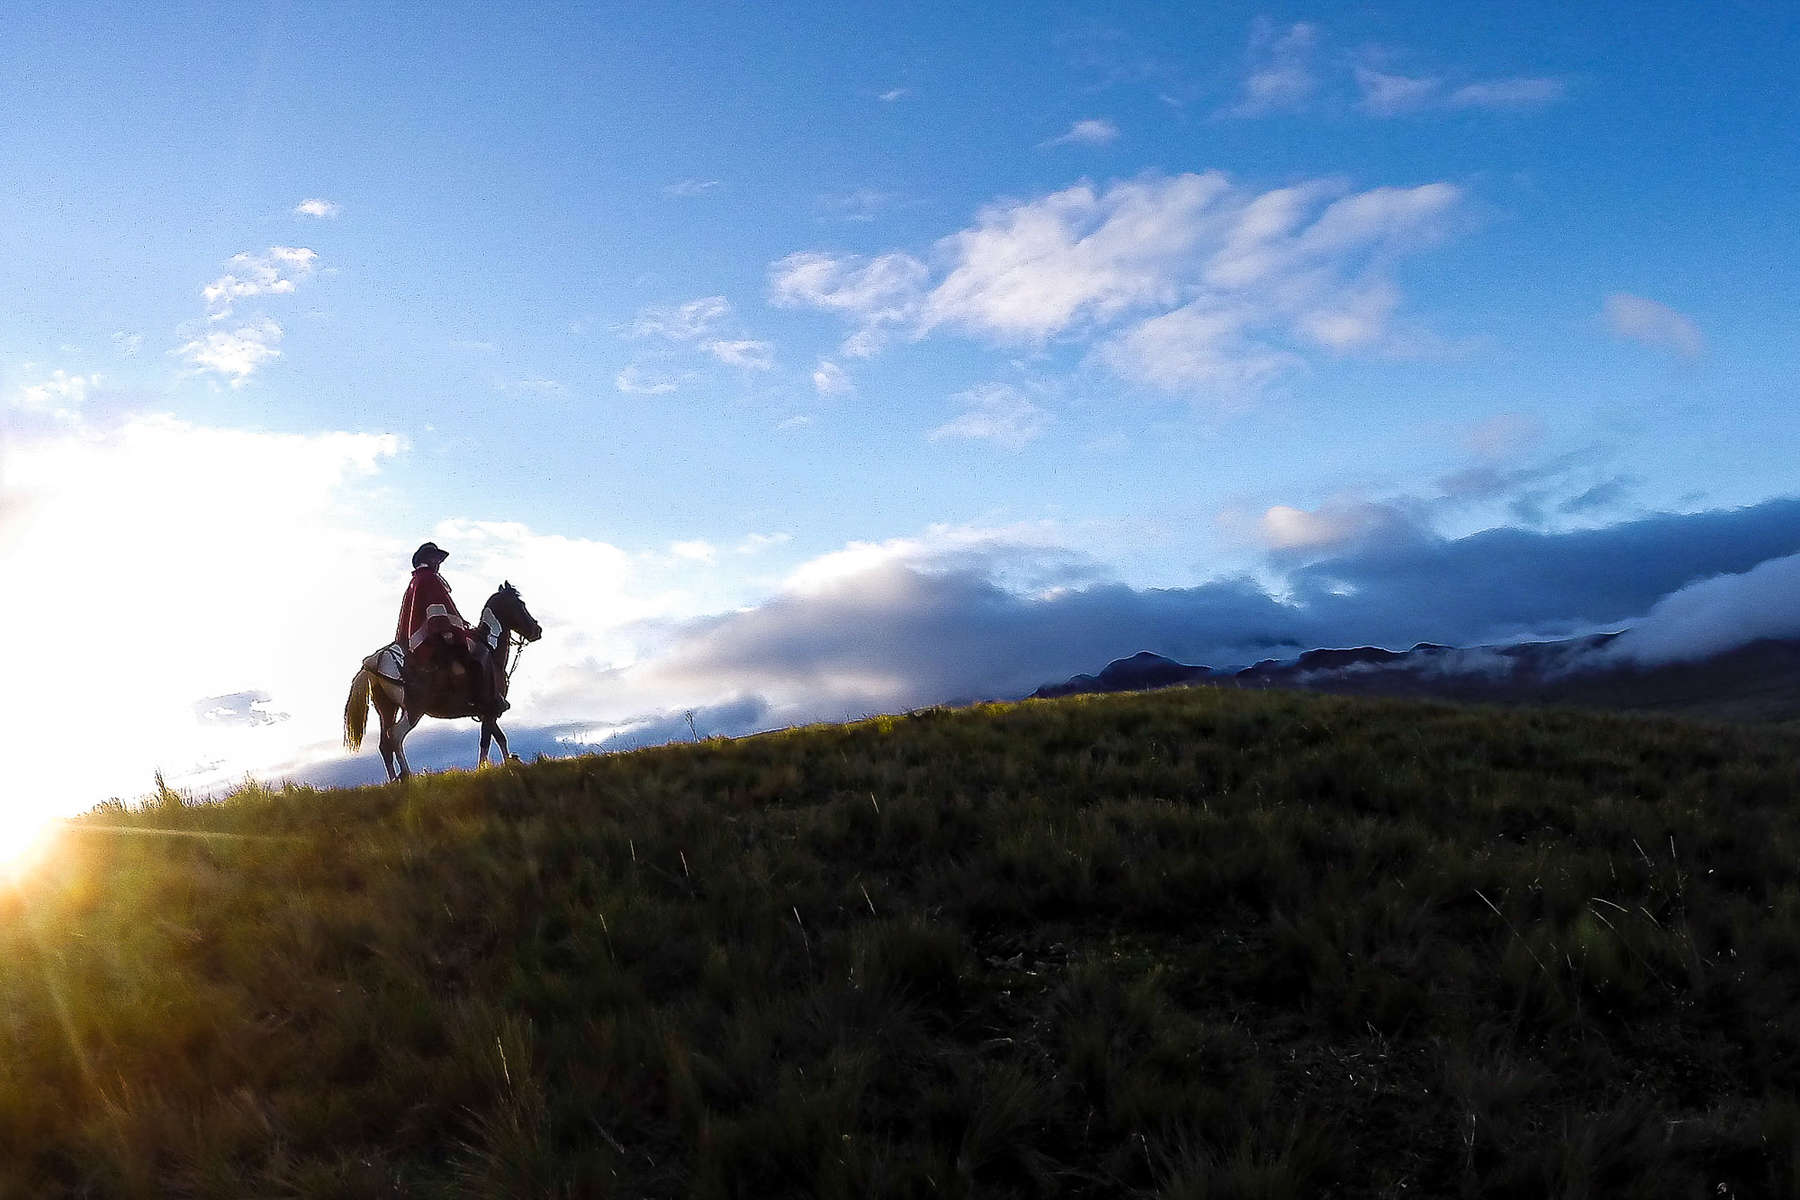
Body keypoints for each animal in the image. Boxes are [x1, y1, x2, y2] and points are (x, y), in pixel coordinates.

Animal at [342, 579, 540, 780]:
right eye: (521, 604)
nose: (536, 630)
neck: (490, 650)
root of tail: (377, 660)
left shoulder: (487, 713)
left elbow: (498, 737)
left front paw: (506, 763)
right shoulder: (490, 709)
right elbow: (487, 741)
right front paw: (486, 770)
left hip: (387, 710)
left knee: (385, 745)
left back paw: (395, 780)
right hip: (413, 710)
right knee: (396, 736)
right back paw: (407, 775)